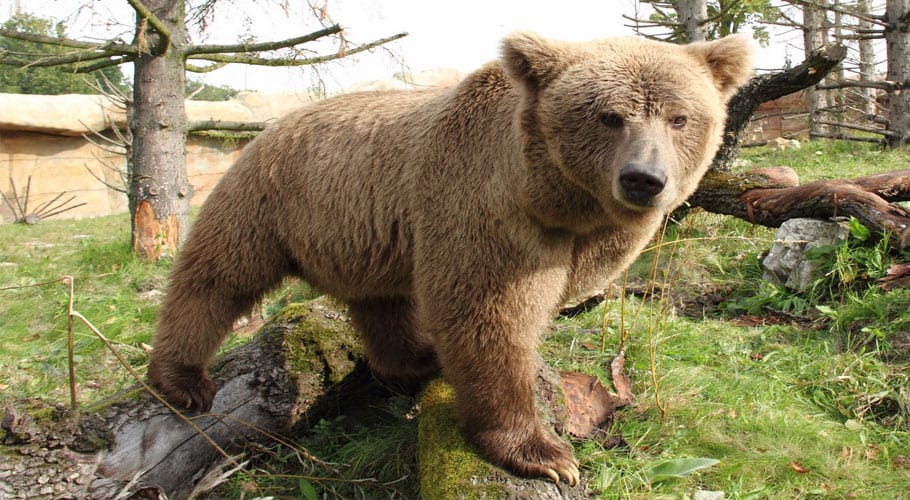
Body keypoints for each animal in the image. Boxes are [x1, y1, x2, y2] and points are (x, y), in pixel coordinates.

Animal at [149, 32, 753, 485]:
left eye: (679, 118)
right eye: (609, 116)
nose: (643, 179)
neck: (557, 201)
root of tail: (270, 126)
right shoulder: (486, 208)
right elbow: (486, 316)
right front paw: (544, 454)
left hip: (362, 237)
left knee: (381, 303)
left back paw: (414, 359)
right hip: (271, 199)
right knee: (217, 276)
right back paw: (182, 378)